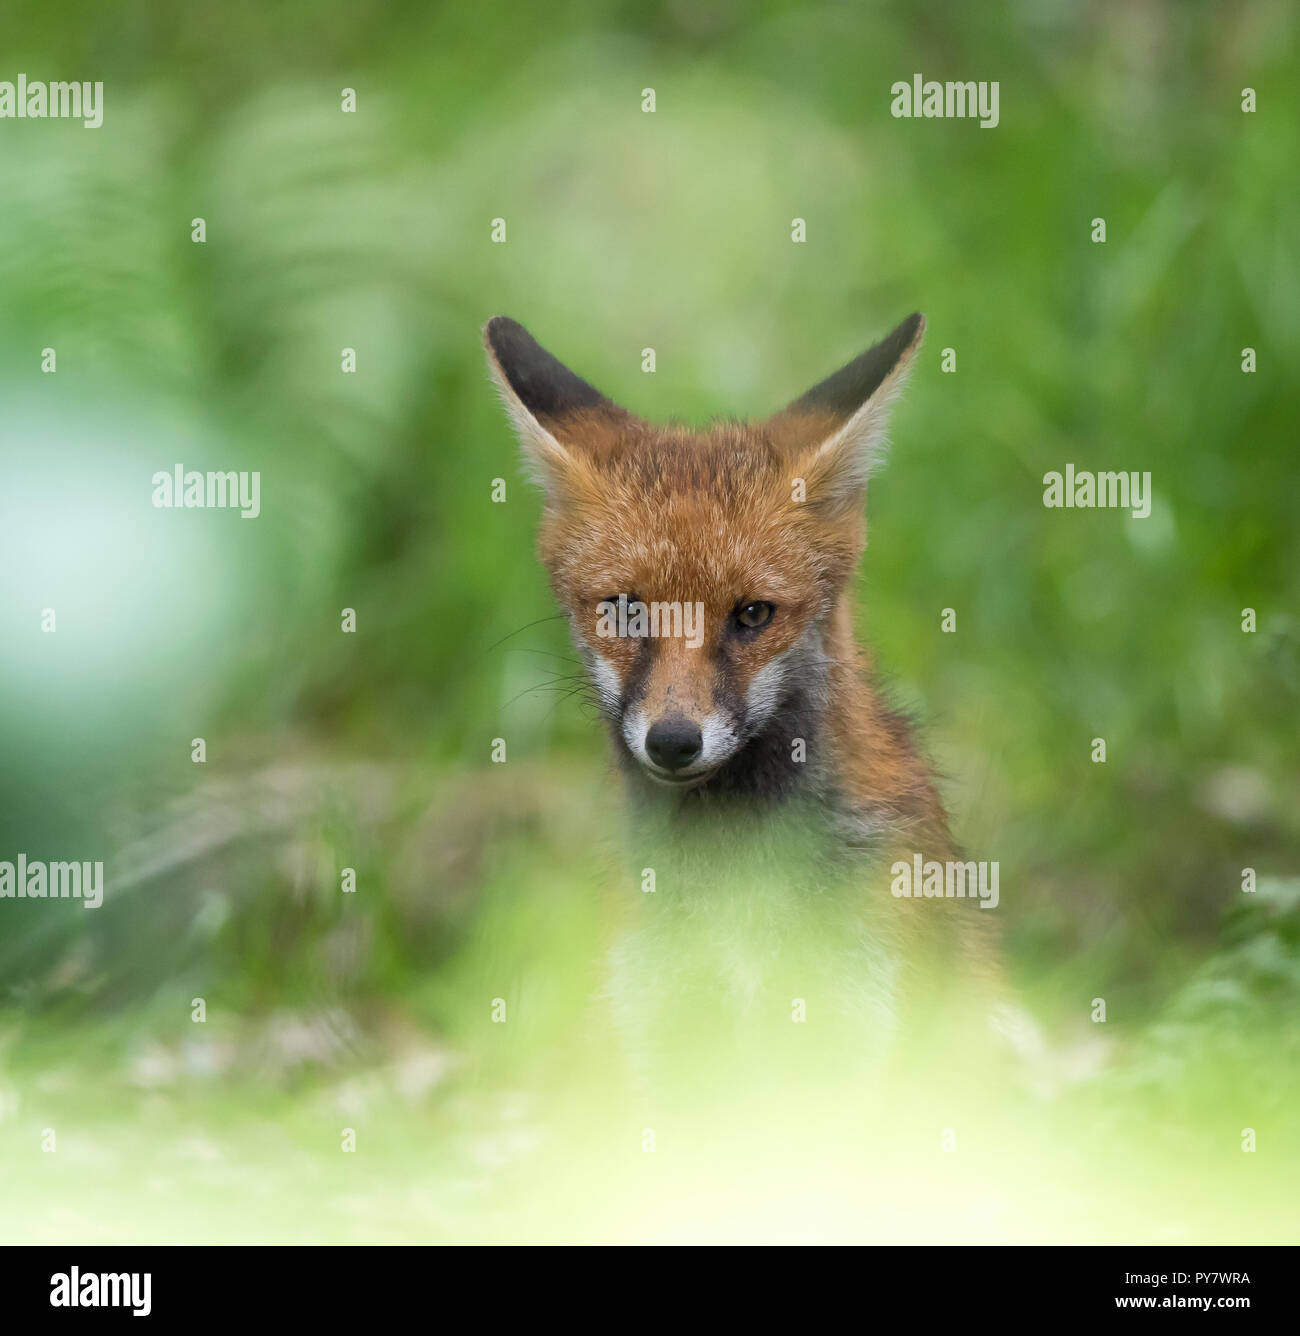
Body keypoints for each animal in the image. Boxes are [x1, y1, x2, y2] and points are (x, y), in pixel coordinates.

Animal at [484, 313, 1024, 1100]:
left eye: (751, 614)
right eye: (625, 611)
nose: (673, 740)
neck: (732, 882)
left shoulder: (852, 1032)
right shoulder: (662, 1032)